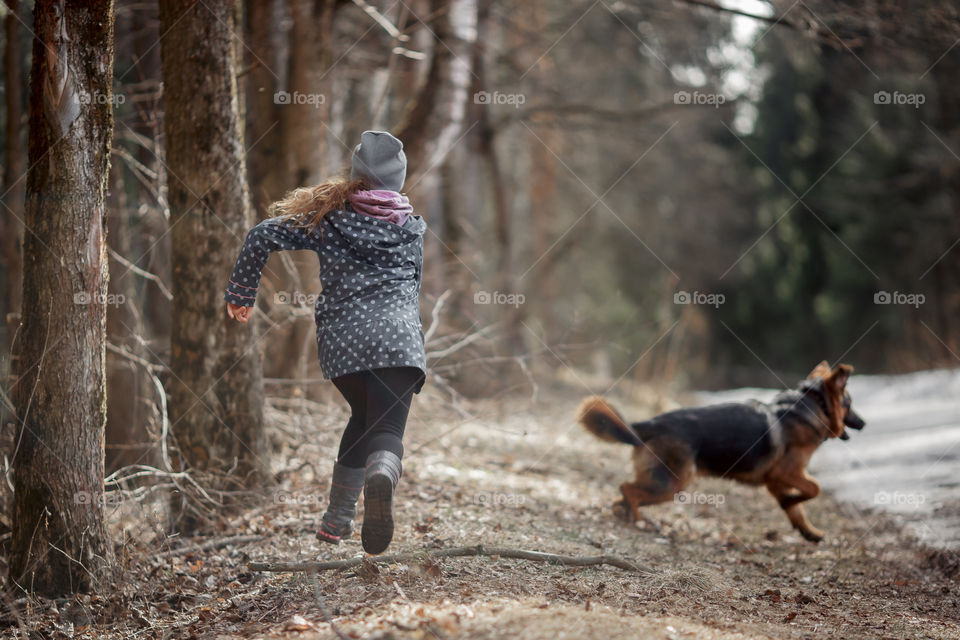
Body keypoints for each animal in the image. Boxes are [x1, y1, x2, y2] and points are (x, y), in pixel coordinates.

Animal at [580, 362, 868, 544]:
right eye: (849, 403)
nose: (864, 423)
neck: (812, 404)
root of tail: (651, 423)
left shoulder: (776, 481)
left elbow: (797, 509)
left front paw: (807, 529)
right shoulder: (786, 473)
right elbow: (814, 489)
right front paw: (792, 504)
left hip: (664, 483)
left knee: (622, 494)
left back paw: (625, 513)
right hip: (672, 485)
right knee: (627, 489)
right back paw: (637, 519)